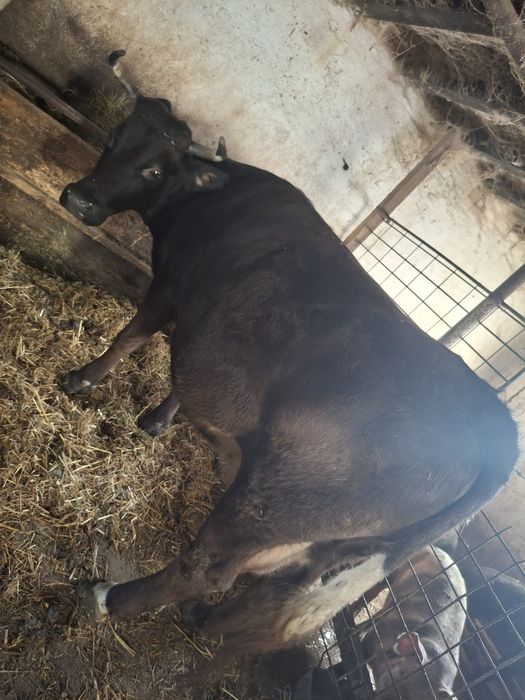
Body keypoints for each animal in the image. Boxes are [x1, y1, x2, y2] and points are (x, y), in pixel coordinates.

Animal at [58, 53, 518, 661]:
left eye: (155, 169)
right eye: (115, 138)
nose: (80, 199)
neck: (214, 195)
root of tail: (498, 421)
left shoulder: (174, 281)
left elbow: (133, 335)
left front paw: (83, 380)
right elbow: (184, 373)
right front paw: (157, 419)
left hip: (272, 501)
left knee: (206, 567)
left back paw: (109, 597)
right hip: (330, 547)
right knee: (266, 588)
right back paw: (202, 621)